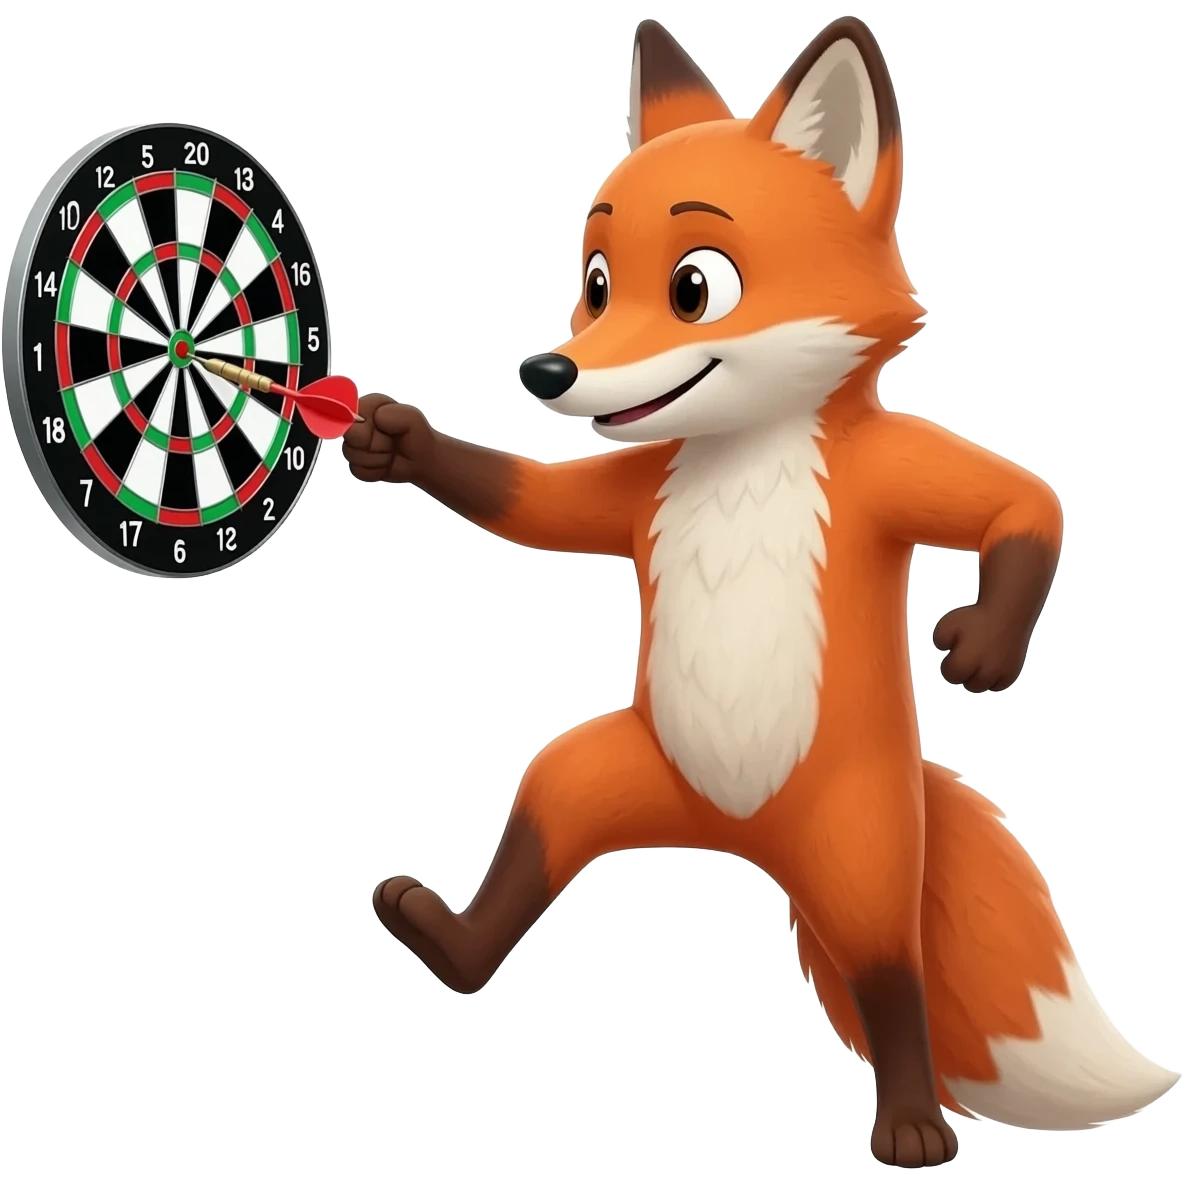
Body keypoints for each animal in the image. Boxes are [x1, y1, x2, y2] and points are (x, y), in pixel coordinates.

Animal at [353, 16, 1180, 1168]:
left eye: (693, 287)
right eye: (595, 282)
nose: (546, 372)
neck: (744, 453)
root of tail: (747, 840)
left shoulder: (889, 475)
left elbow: (1024, 503)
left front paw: (981, 649)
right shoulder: (634, 490)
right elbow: (535, 505)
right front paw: (400, 444)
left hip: (862, 849)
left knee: (891, 979)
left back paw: (912, 1120)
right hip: (603, 772)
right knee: (533, 843)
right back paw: (445, 940)